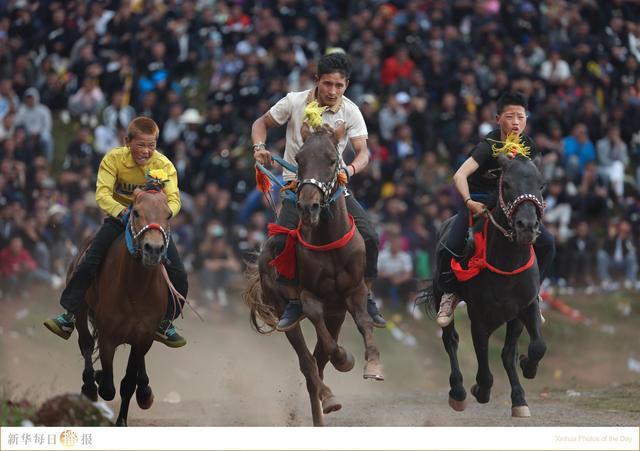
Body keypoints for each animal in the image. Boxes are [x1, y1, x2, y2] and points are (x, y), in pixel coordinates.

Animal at [74, 188, 172, 428]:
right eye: (135, 212)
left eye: (168, 215)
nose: (153, 249)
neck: (135, 289)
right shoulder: (108, 336)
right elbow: (108, 389)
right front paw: (98, 378)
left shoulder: (143, 335)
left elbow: (127, 383)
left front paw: (122, 421)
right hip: (81, 308)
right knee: (86, 342)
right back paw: (90, 385)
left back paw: (144, 391)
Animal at [245, 124, 384, 428]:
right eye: (298, 159)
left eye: (333, 160)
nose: (309, 207)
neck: (327, 241)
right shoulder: (310, 297)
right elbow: (320, 332)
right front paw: (345, 359)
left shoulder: (354, 292)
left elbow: (365, 323)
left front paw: (372, 366)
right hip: (284, 312)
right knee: (309, 365)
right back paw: (328, 398)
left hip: (337, 314)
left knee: (318, 362)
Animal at [428, 155, 548, 420]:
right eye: (507, 184)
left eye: (541, 185)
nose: (526, 226)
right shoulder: (479, 316)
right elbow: (482, 357)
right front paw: (480, 389)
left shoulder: (526, 306)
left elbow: (537, 346)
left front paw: (528, 367)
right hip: (441, 292)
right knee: (450, 339)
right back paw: (458, 392)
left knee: (506, 353)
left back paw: (519, 399)